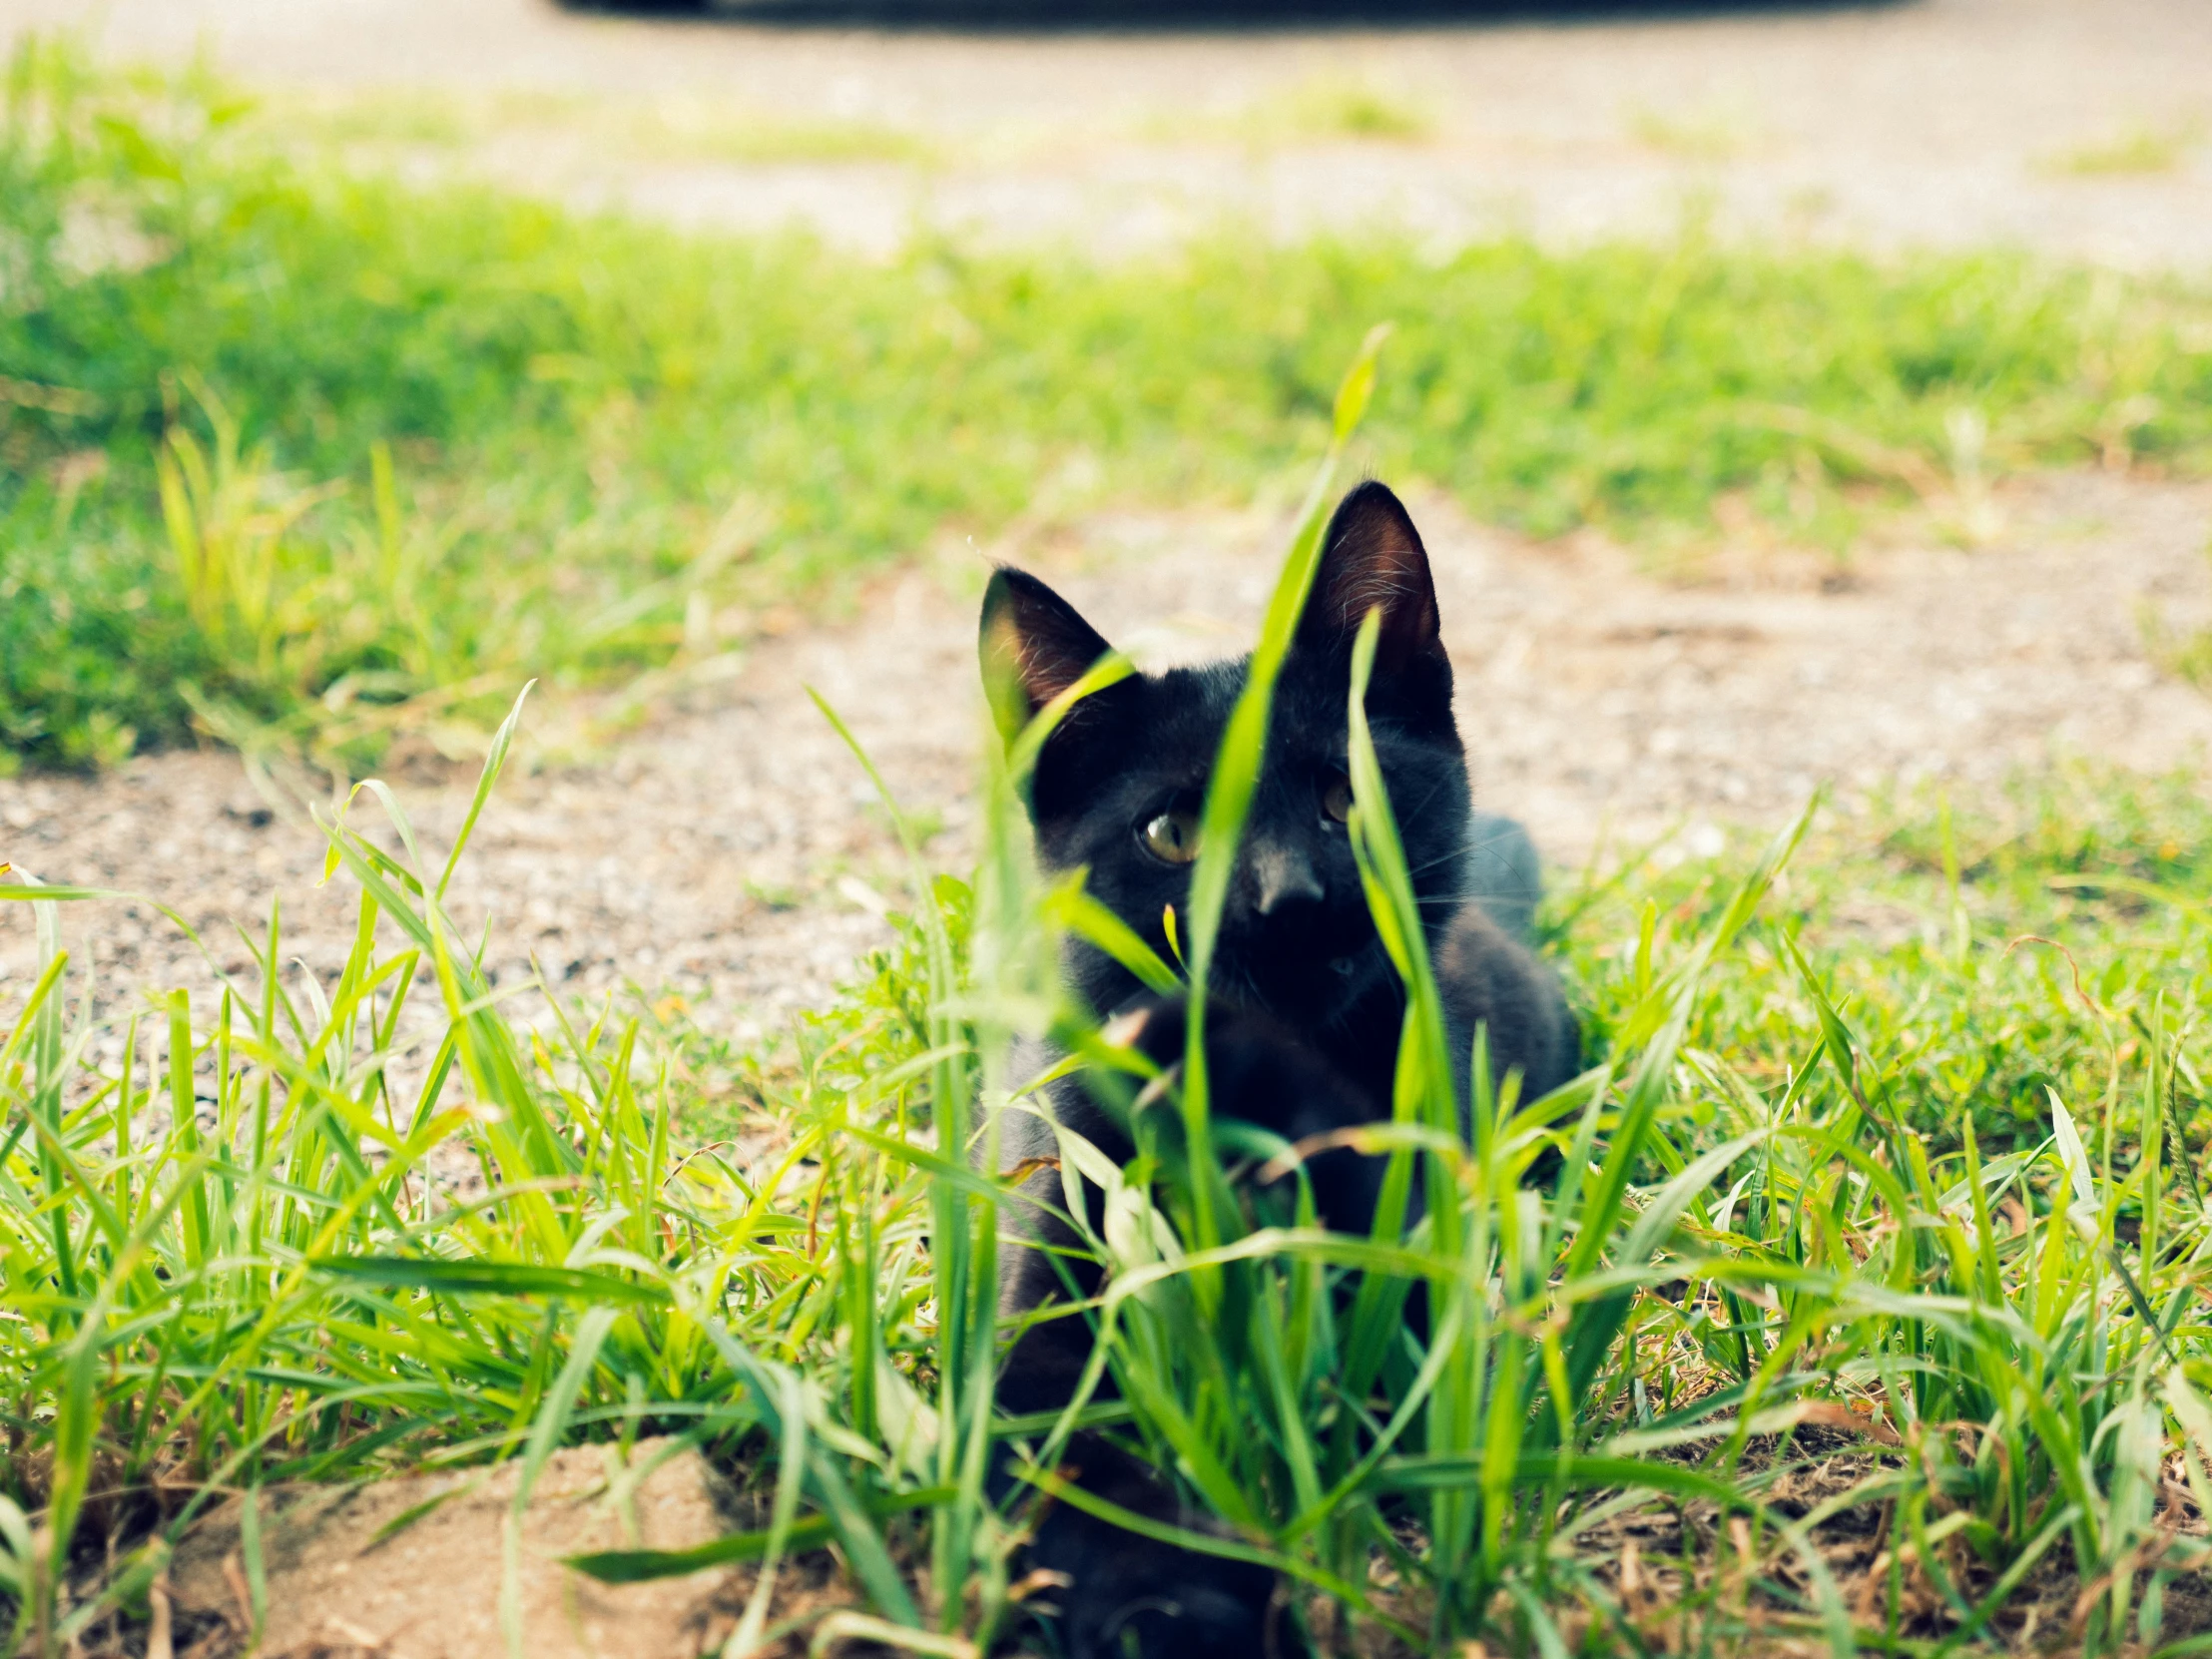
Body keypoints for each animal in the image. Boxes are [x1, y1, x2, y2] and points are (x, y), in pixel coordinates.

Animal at [981, 479, 1574, 1659]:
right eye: (1169, 833)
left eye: (1345, 800)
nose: (1287, 898)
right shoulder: (1050, 1252)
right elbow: (1054, 1441)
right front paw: (1168, 1599)